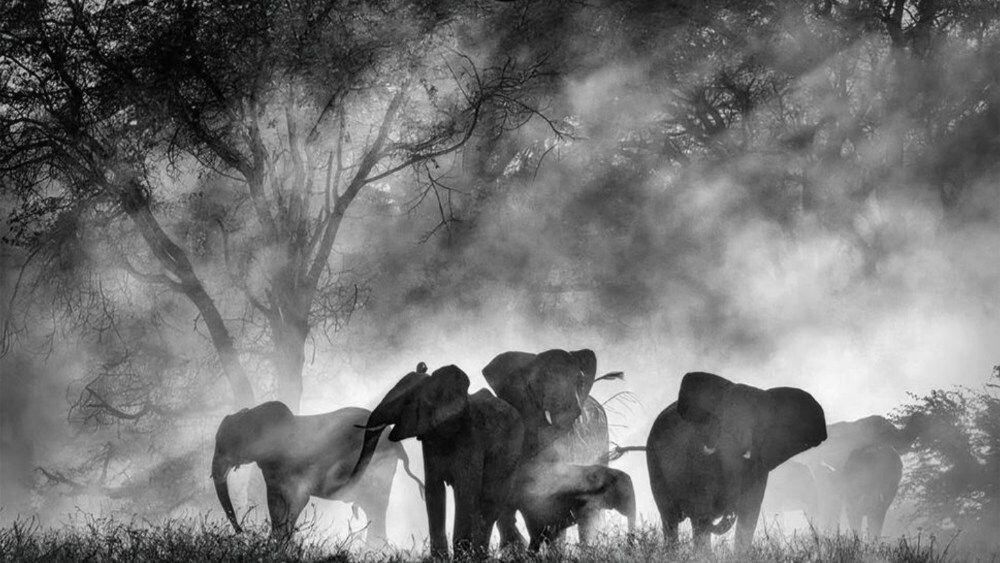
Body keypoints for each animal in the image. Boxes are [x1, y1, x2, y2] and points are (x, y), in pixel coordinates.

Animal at [211, 401, 424, 542]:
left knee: (376, 507)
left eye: (226, 445)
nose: (242, 533)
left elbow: (297, 500)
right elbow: (276, 503)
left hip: (378, 468)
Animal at [350, 363, 524, 557]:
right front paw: (440, 558)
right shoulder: (429, 440)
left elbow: (466, 491)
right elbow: (434, 491)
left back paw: (479, 555)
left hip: (511, 453)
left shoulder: (471, 438)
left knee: (490, 503)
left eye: (407, 402)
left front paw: (462, 557)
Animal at [646, 372, 827, 549]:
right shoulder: (696, 459)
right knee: (670, 519)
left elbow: (749, 515)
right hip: (654, 463)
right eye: (720, 420)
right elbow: (701, 511)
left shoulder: (759, 467)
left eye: (758, 424)